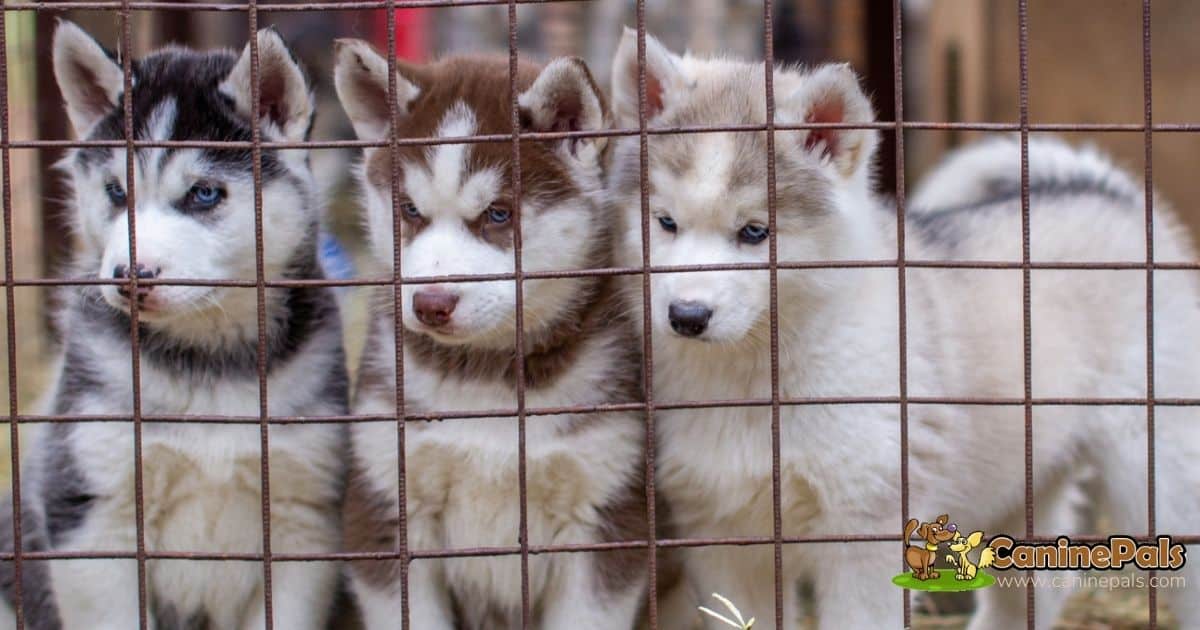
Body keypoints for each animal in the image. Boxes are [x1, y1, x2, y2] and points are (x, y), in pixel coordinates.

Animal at [0, 22, 348, 624]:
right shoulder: (91, 512)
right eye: (116, 192)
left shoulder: (302, 516)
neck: (205, 363)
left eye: (204, 193)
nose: (129, 276)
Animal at [328, 41, 648, 624]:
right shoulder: (387, 502)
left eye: (498, 215)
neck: (485, 377)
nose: (431, 304)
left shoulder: (606, 515)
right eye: (410, 210)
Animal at [609, 28, 1200, 628]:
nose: (686, 316)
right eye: (665, 223)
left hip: (1157, 466)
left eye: (754, 232)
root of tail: (1108, 193)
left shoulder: (866, 532)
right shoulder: (722, 538)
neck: (753, 379)